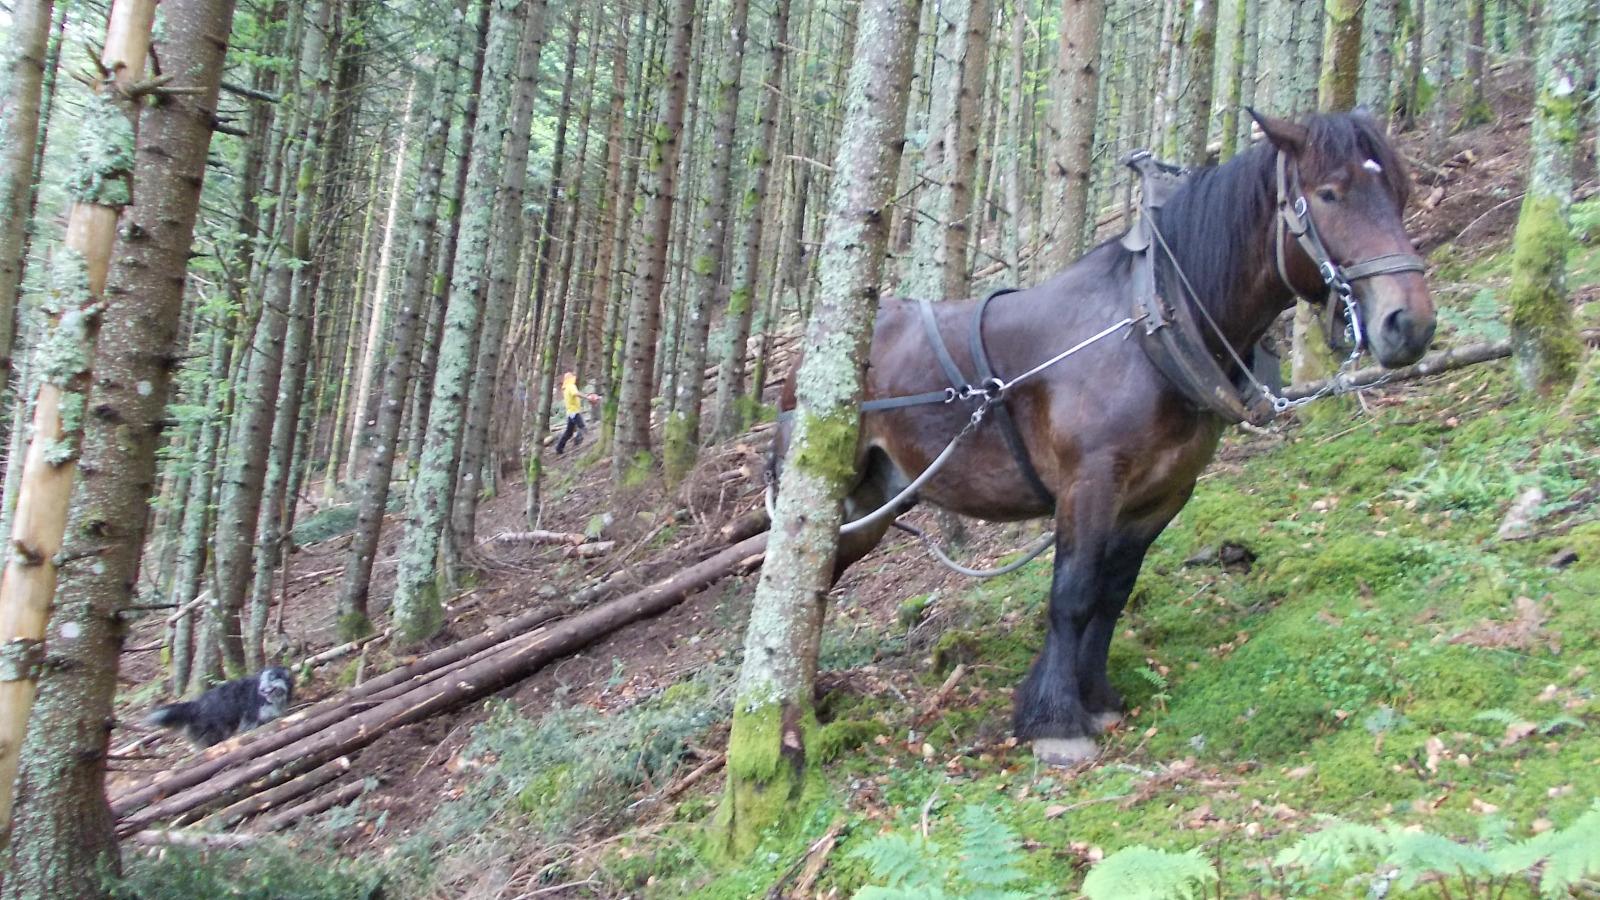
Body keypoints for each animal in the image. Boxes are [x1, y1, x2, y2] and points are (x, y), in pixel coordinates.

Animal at [772, 110, 1436, 766]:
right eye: (1329, 194)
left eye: (1400, 191)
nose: (1410, 324)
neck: (1148, 326)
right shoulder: (1089, 482)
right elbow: (1072, 594)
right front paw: (1057, 722)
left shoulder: (1163, 493)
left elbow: (1113, 591)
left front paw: (1096, 697)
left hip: (874, 502)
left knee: (816, 581)